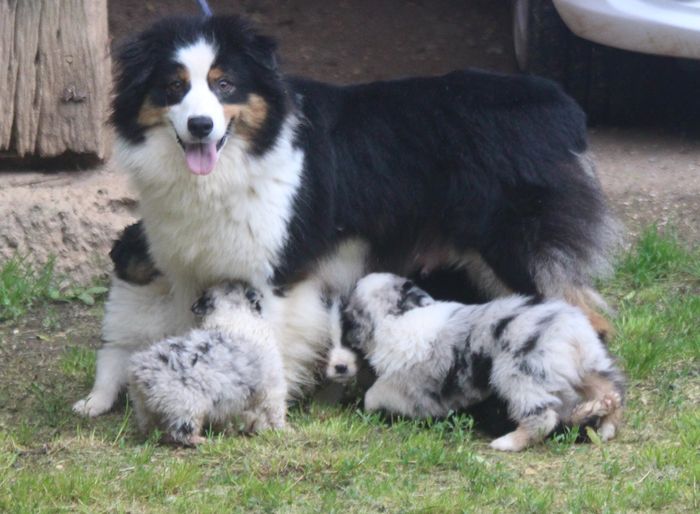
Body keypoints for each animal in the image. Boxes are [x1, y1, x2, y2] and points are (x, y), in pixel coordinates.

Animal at [75, 16, 616, 416]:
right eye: (173, 86)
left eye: (224, 84)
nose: (201, 125)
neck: (238, 158)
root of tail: (563, 107)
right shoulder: (192, 269)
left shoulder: (276, 273)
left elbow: (269, 344)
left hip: (515, 246)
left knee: (588, 315)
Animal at [330, 272, 628, 448]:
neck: (398, 316)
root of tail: (569, 329)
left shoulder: (406, 383)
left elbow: (375, 392)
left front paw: (368, 405)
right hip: (591, 365)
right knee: (611, 393)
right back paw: (606, 424)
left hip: (519, 376)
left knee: (543, 418)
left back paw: (508, 442)